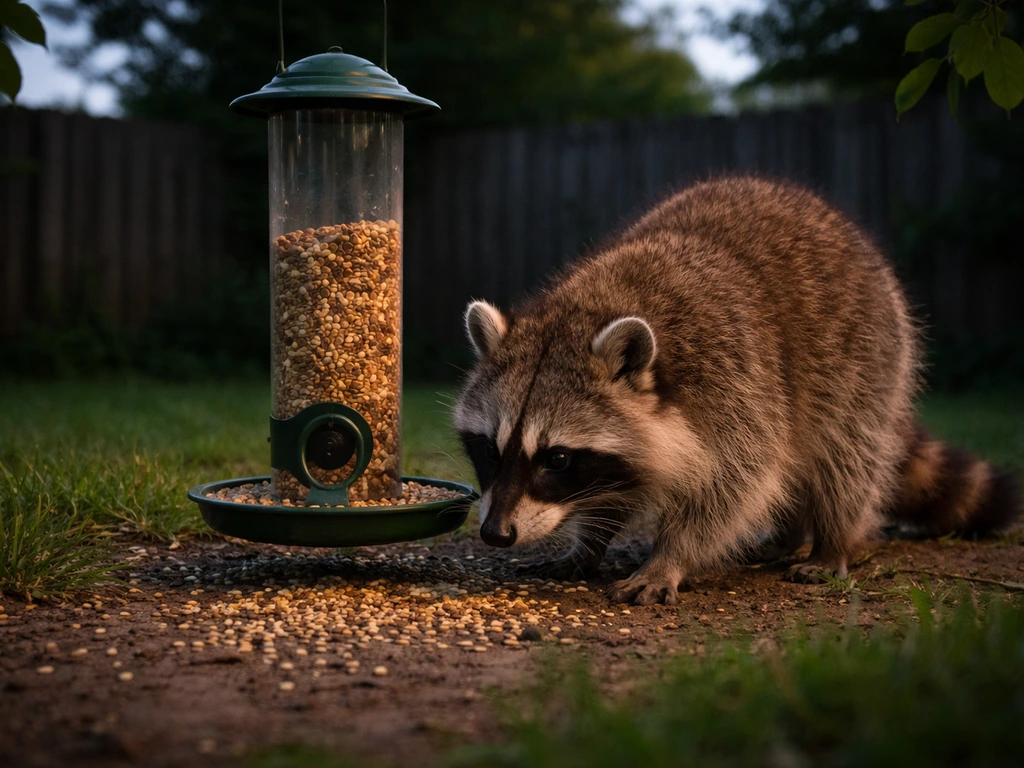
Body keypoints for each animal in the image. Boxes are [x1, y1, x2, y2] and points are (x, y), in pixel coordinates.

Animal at [454, 177, 1021, 604]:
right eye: (489, 450)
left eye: (557, 459)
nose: (495, 533)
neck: (589, 306)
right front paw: (590, 540)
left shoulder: (736, 385)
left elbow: (737, 482)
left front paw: (671, 556)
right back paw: (789, 535)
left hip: (869, 355)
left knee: (844, 456)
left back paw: (831, 540)